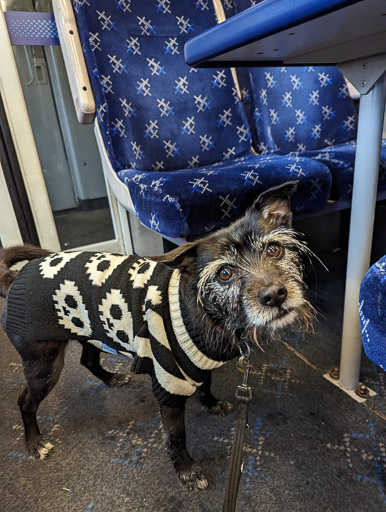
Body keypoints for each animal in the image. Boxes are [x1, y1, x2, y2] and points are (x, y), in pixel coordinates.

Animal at [0, 182, 314, 490]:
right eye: (225, 273)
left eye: (274, 250)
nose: (275, 295)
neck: (205, 311)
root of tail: (15, 277)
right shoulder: (168, 388)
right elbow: (176, 437)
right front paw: (187, 471)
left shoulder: (200, 364)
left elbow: (206, 384)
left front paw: (211, 404)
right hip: (44, 364)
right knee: (25, 401)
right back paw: (34, 442)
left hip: (93, 333)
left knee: (87, 361)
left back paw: (111, 378)